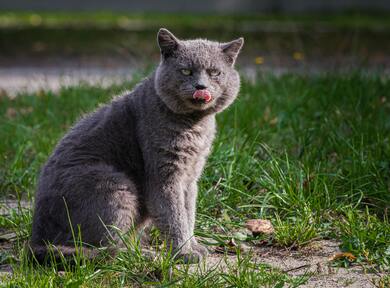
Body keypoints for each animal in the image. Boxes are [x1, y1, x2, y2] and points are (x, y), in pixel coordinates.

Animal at [30, 28, 242, 264]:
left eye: (215, 73)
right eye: (186, 71)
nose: (201, 86)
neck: (195, 125)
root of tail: (36, 239)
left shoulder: (190, 176)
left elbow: (188, 213)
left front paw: (194, 246)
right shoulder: (165, 175)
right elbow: (174, 216)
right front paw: (184, 253)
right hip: (114, 184)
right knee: (101, 249)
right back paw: (139, 256)